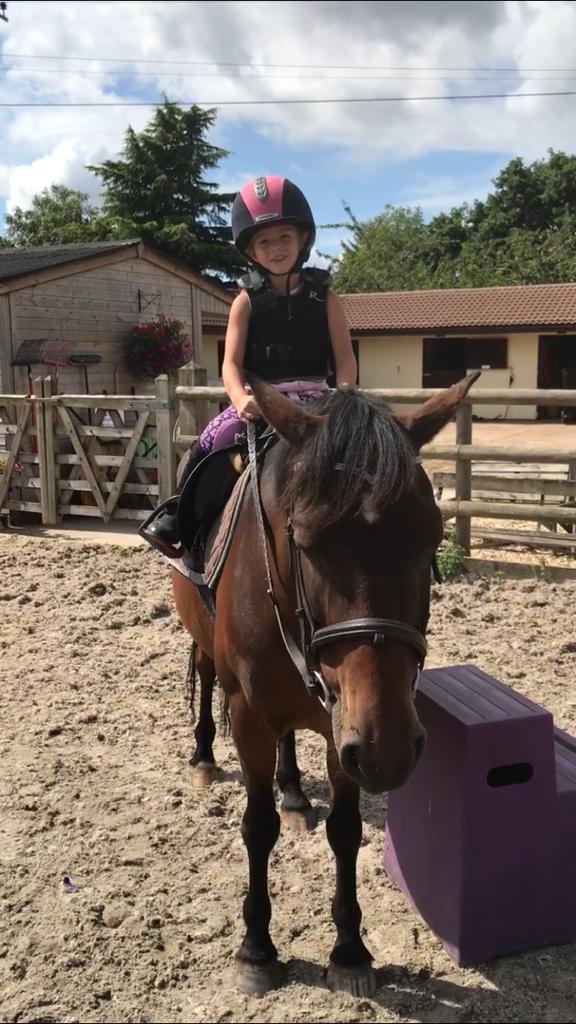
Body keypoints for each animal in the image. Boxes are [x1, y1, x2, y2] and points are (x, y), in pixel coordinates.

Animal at [172, 373, 478, 997]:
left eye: (430, 538)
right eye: (308, 542)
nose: (390, 752)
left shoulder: (349, 725)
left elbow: (345, 829)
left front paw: (350, 952)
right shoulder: (252, 715)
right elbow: (257, 827)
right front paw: (257, 949)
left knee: (290, 738)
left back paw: (293, 791)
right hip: (208, 647)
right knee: (206, 676)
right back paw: (204, 757)